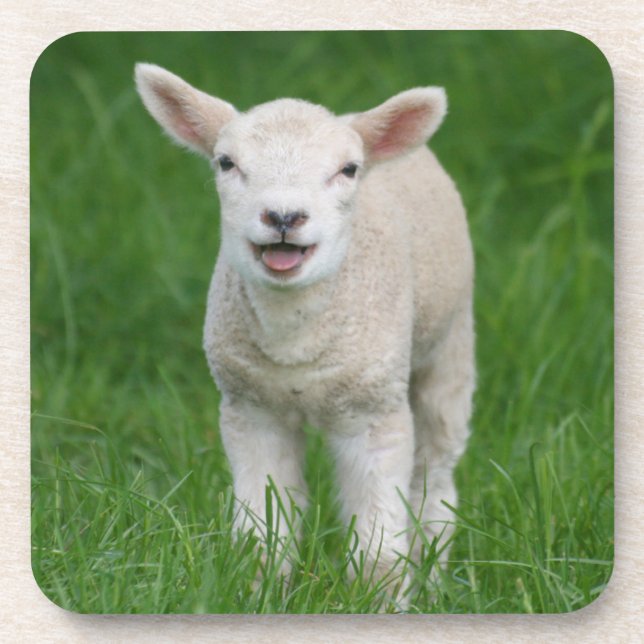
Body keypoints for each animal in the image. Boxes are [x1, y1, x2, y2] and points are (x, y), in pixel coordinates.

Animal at [135, 63, 475, 594]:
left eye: (348, 169)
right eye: (226, 163)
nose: (283, 216)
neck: (293, 342)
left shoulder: (374, 413)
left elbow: (379, 546)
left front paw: (378, 600)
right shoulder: (251, 410)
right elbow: (263, 532)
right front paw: (256, 592)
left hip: (450, 343)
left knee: (435, 473)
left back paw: (435, 575)